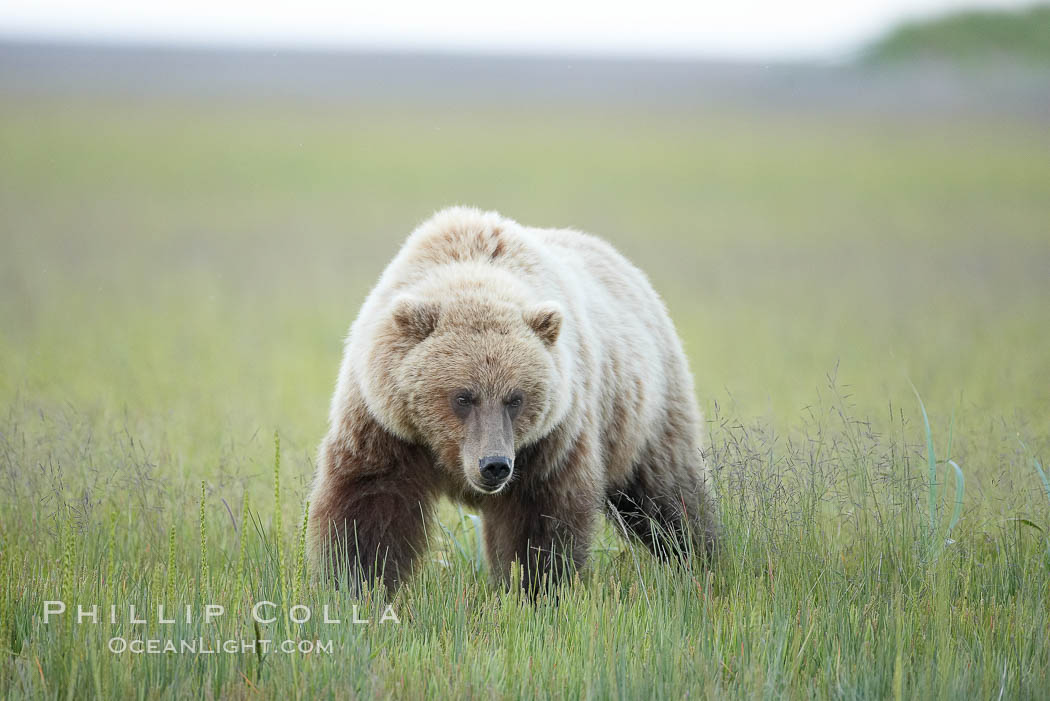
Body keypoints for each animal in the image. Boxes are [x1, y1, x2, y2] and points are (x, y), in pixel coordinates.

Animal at [306, 205, 718, 596]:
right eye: (463, 397)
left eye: (515, 398)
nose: (494, 465)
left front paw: (536, 589)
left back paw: (704, 559)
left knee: (669, 497)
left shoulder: (549, 439)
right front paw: (355, 586)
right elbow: (369, 509)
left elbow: (540, 521)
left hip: (643, 414)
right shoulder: (385, 425)